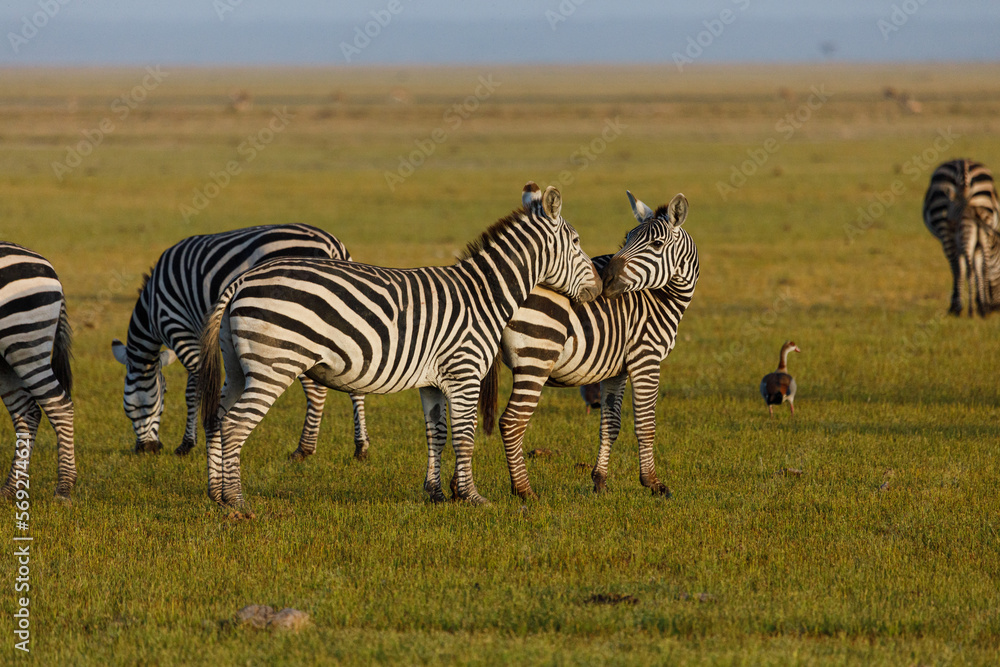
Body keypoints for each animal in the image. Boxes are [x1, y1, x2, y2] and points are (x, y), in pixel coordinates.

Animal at [0, 243, 76, 500]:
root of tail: (48, 265)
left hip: (24, 342)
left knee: (59, 406)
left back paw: (64, 489)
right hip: (5, 360)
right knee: (27, 413)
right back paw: (11, 488)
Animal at [110, 223, 370, 458]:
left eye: (129, 408)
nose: (146, 450)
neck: (151, 307)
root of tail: (332, 244)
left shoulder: (177, 327)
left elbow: (194, 387)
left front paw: (187, 444)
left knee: (316, 388)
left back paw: (304, 449)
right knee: (357, 379)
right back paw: (360, 447)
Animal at [198, 182, 602, 508]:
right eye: (577, 242)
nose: (600, 287)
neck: (483, 295)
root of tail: (242, 281)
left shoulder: (433, 382)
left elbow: (436, 435)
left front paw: (436, 494)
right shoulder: (465, 372)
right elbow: (464, 436)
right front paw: (472, 497)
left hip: (238, 368)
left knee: (216, 420)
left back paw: (217, 495)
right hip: (272, 367)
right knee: (234, 426)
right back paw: (237, 503)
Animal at [486, 191, 698, 499]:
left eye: (657, 244)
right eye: (627, 238)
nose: (605, 279)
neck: (658, 298)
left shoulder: (616, 370)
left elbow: (610, 424)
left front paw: (599, 480)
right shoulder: (646, 358)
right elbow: (645, 424)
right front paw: (653, 483)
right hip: (535, 358)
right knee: (511, 422)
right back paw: (523, 491)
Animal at [922, 159, 1000, 317]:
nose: (997, 308)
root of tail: (963, 169)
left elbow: (971, 265)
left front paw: (979, 302)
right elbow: (975, 265)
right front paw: (980, 303)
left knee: (961, 265)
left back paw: (966, 308)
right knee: (969, 266)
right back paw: (964, 308)